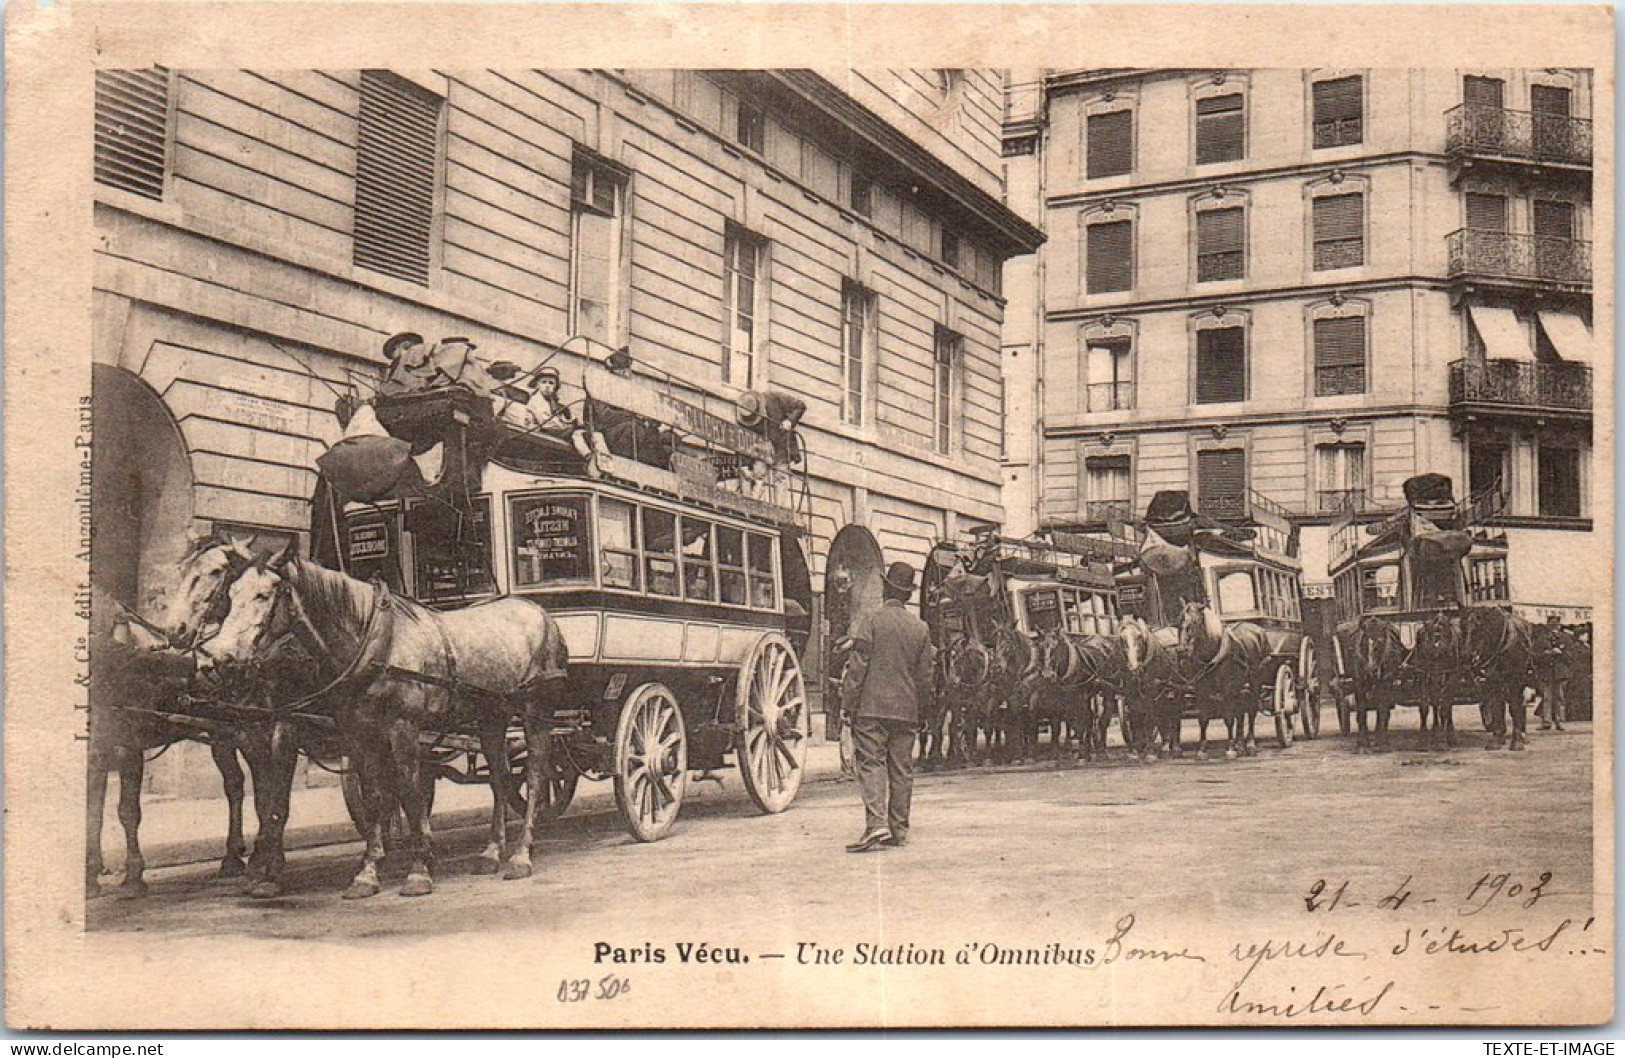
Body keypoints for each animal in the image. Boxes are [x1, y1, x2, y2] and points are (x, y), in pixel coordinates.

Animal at [198, 546, 572, 903]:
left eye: (264, 595)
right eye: (231, 594)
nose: (218, 659)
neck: (376, 641)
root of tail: (540, 613)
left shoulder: (402, 727)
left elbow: (409, 791)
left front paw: (419, 870)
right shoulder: (358, 732)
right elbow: (377, 797)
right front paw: (368, 872)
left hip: (535, 712)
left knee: (536, 775)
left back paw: (521, 855)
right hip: (492, 716)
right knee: (500, 779)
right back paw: (492, 852)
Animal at [1176, 604, 1274, 760]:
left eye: (1195, 623)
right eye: (1178, 622)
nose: (1181, 650)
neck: (1213, 653)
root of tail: (1258, 630)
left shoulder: (1227, 689)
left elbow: (1228, 718)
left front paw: (1230, 749)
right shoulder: (1201, 690)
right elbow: (1203, 719)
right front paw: (1202, 749)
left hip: (1255, 680)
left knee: (1252, 710)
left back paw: (1250, 744)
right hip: (1240, 686)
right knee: (1240, 711)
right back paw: (1240, 745)